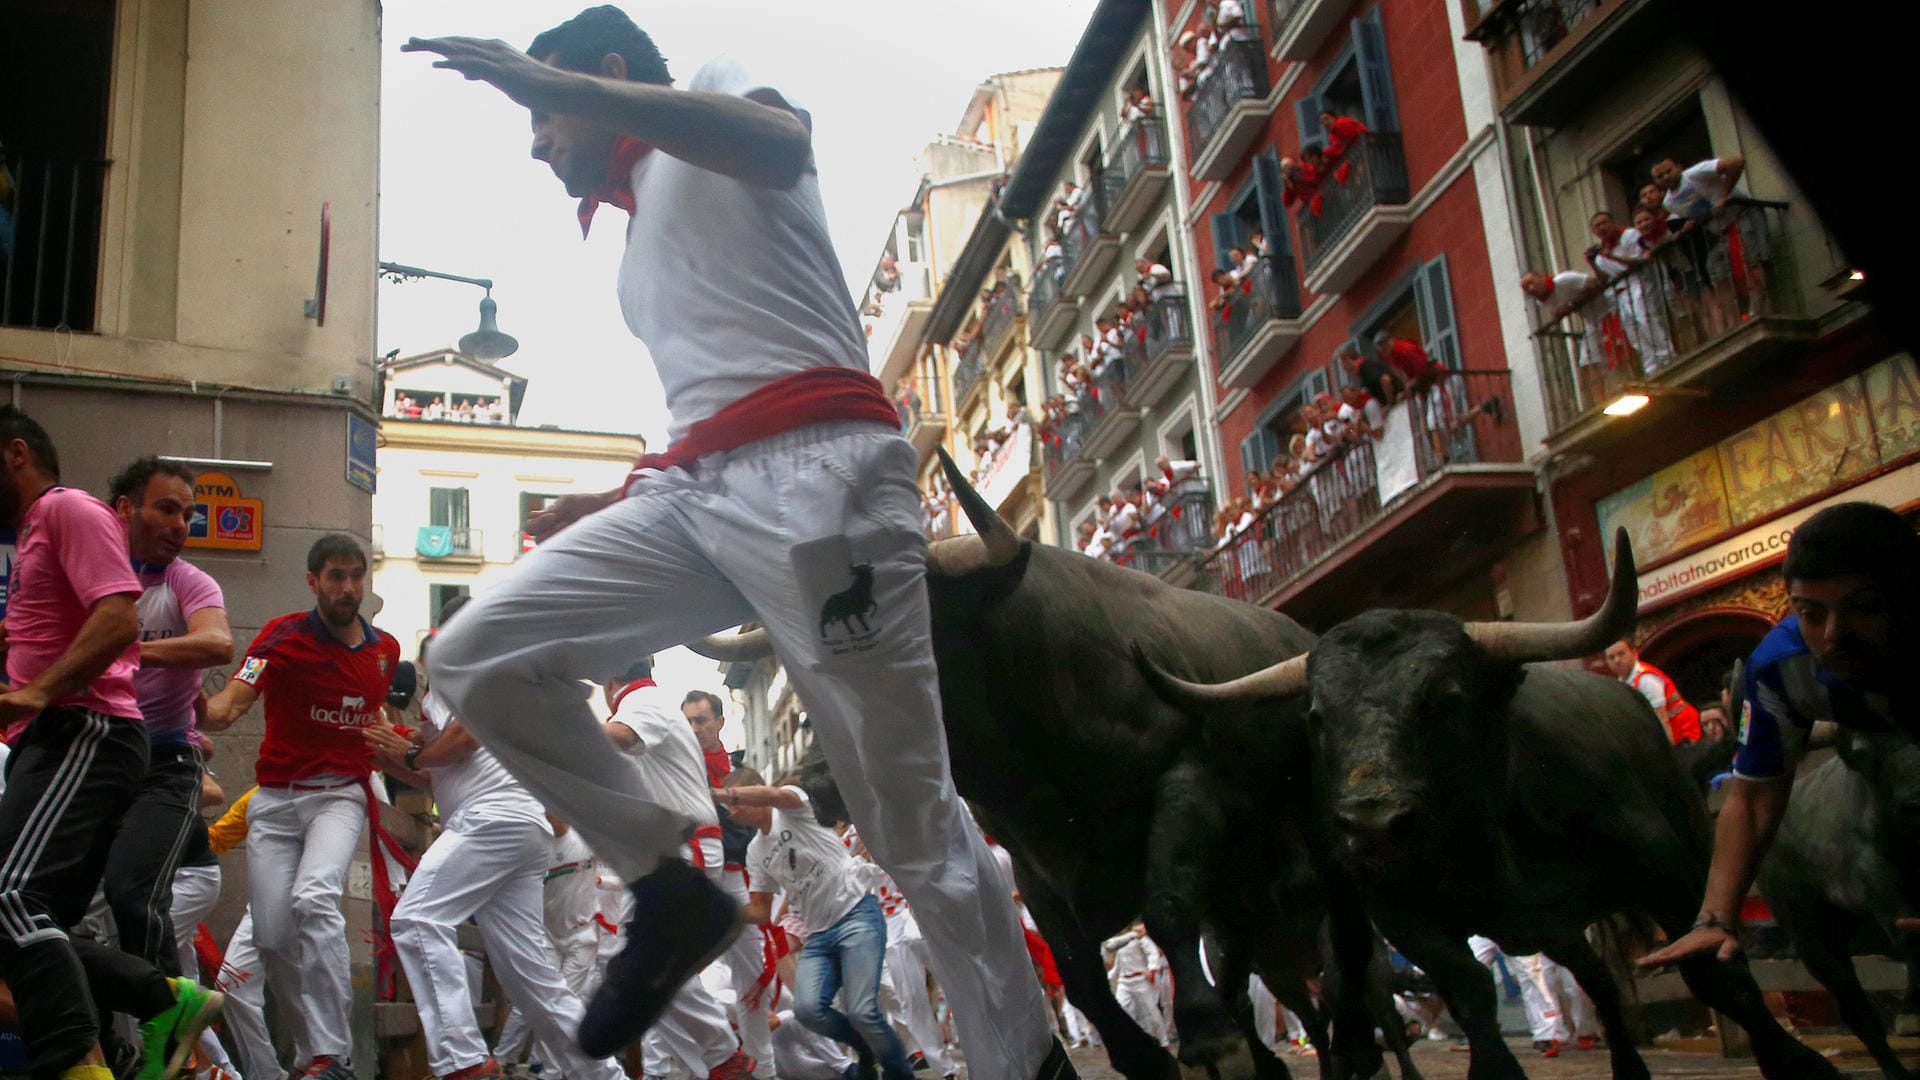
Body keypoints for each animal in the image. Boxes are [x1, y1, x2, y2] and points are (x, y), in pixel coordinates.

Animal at [698, 447, 1420, 1076]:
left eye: (915, 636)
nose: (814, 782)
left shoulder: (1187, 785)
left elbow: (1165, 908)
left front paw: (1207, 1039)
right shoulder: (1031, 862)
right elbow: (1076, 970)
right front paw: (1147, 1056)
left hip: (1316, 836)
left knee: (1345, 936)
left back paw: (1353, 1044)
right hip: (1240, 881)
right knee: (1245, 960)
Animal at [1136, 530, 1843, 1076]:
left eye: (1447, 699)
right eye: (1316, 716)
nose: (1370, 823)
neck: (1486, 835)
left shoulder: (1666, 874)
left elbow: (1716, 971)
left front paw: (1800, 1064)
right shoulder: (1403, 912)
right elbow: (1469, 993)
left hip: (1659, 865)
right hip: (1552, 924)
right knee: (1597, 980)